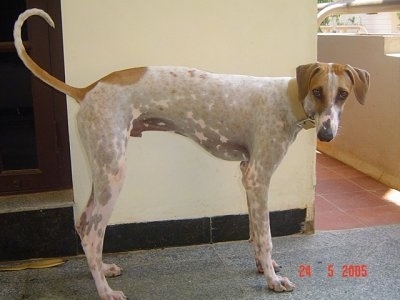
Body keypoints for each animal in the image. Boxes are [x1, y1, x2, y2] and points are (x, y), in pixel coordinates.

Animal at [13, 8, 368, 300]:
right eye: (318, 91)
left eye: (343, 94)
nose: (326, 135)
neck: (288, 98)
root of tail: (87, 89)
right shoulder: (259, 177)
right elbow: (266, 236)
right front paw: (272, 281)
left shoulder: (247, 173)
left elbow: (254, 232)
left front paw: (261, 266)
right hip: (112, 170)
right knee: (90, 228)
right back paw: (105, 291)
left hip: (103, 168)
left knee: (86, 225)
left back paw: (103, 269)